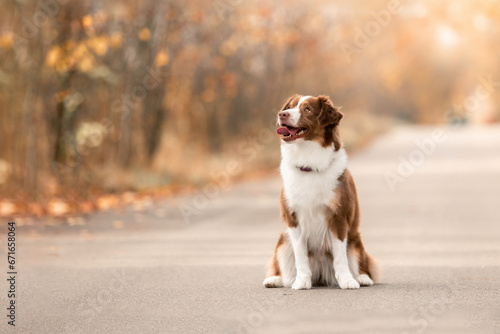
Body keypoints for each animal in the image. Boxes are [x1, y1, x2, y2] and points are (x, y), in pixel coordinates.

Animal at [262, 94, 378, 290]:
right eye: (290, 106)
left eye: (307, 109)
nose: (282, 114)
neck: (309, 165)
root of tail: (321, 273)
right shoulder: (293, 219)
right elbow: (300, 255)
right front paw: (302, 281)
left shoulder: (338, 217)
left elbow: (340, 256)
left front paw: (347, 280)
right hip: (283, 241)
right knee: (286, 270)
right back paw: (276, 279)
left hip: (355, 240)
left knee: (362, 262)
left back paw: (362, 278)